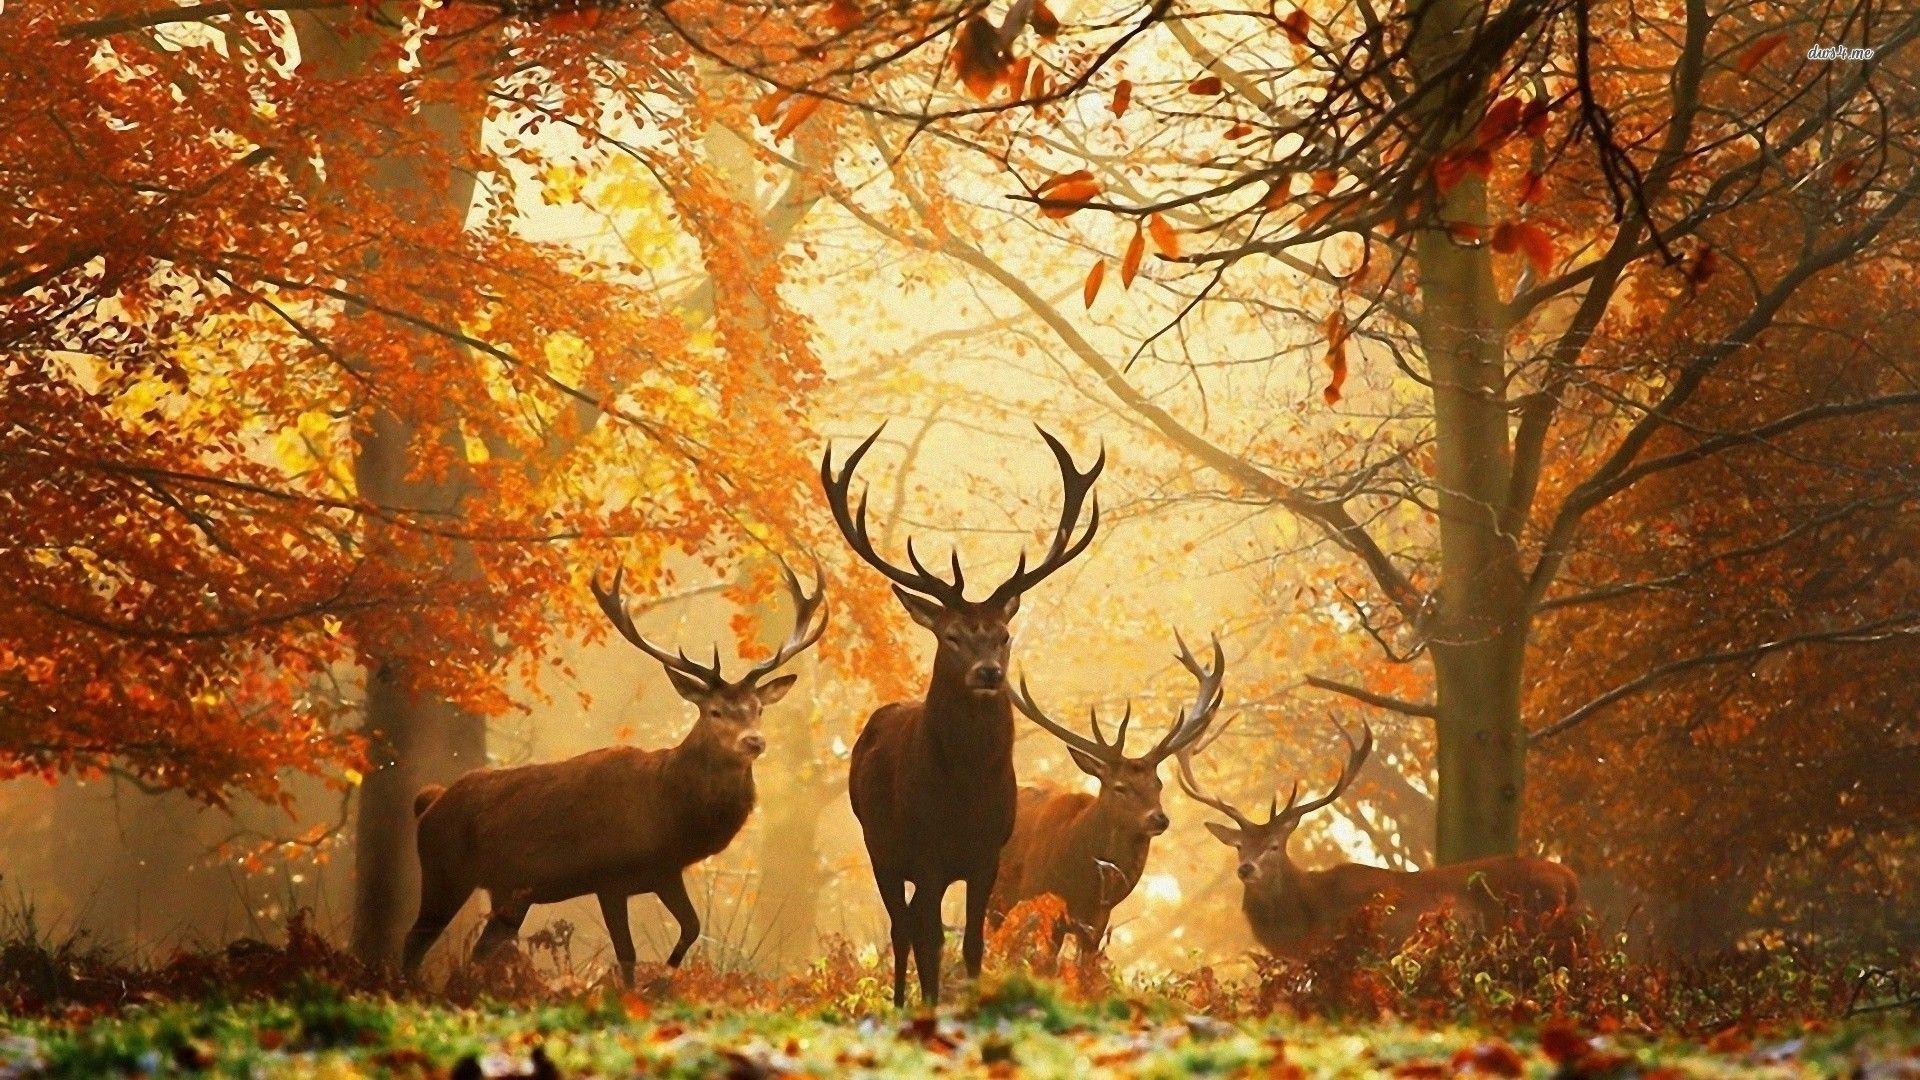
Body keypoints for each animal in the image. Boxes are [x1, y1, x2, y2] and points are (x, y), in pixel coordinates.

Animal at [402, 558, 826, 987]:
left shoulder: (665, 872)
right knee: (413, 941)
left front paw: (665, 977)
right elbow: (627, 954)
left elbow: (691, 927)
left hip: (509, 892)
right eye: (715, 711)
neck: (668, 812)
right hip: (444, 871)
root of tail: (429, 802)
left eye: (759, 708)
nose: (754, 741)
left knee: (480, 950)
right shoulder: (608, 876)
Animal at [821, 425, 1103, 1007]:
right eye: (951, 635)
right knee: (901, 928)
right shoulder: (925, 853)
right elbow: (929, 940)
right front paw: (930, 1005)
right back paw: (900, 1002)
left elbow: (973, 943)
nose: (988, 672)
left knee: (910, 924)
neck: (964, 796)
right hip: (879, 845)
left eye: (1003, 635)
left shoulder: (986, 855)